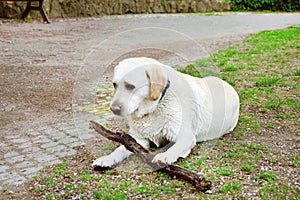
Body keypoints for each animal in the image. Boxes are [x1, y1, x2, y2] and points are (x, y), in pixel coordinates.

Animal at [92, 56, 240, 167]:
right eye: (114, 85)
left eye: (130, 86)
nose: (114, 109)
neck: (154, 107)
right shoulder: (137, 139)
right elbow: (120, 149)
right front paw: (107, 158)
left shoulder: (186, 136)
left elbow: (175, 148)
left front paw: (165, 156)